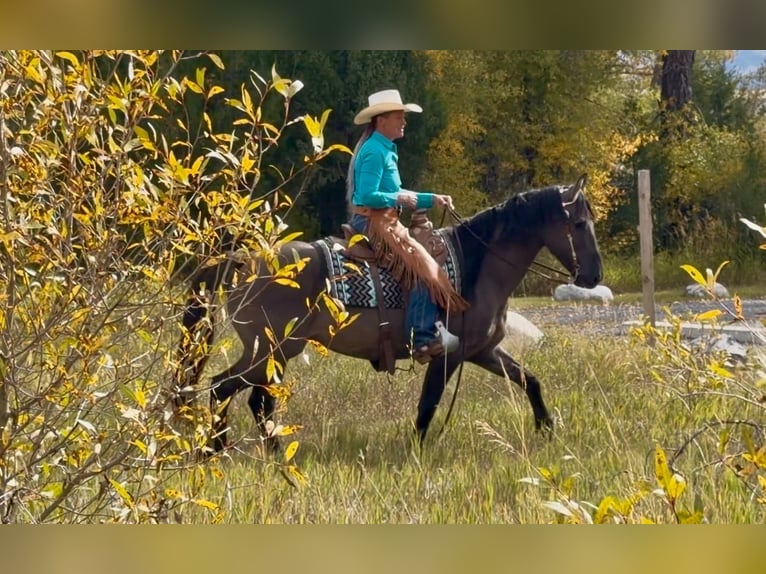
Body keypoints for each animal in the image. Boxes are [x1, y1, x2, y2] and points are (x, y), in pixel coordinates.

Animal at [174, 173, 602, 452]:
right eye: (580, 224)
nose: (595, 275)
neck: (477, 267)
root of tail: (242, 258)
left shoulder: (481, 351)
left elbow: (530, 380)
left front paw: (547, 428)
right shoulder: (448, 354)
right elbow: (429, 402)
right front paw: (415, 449)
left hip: (272, 352)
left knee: (255, 400)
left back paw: (269, 452)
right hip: (272, 349)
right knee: (225, 389)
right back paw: (218, 449)